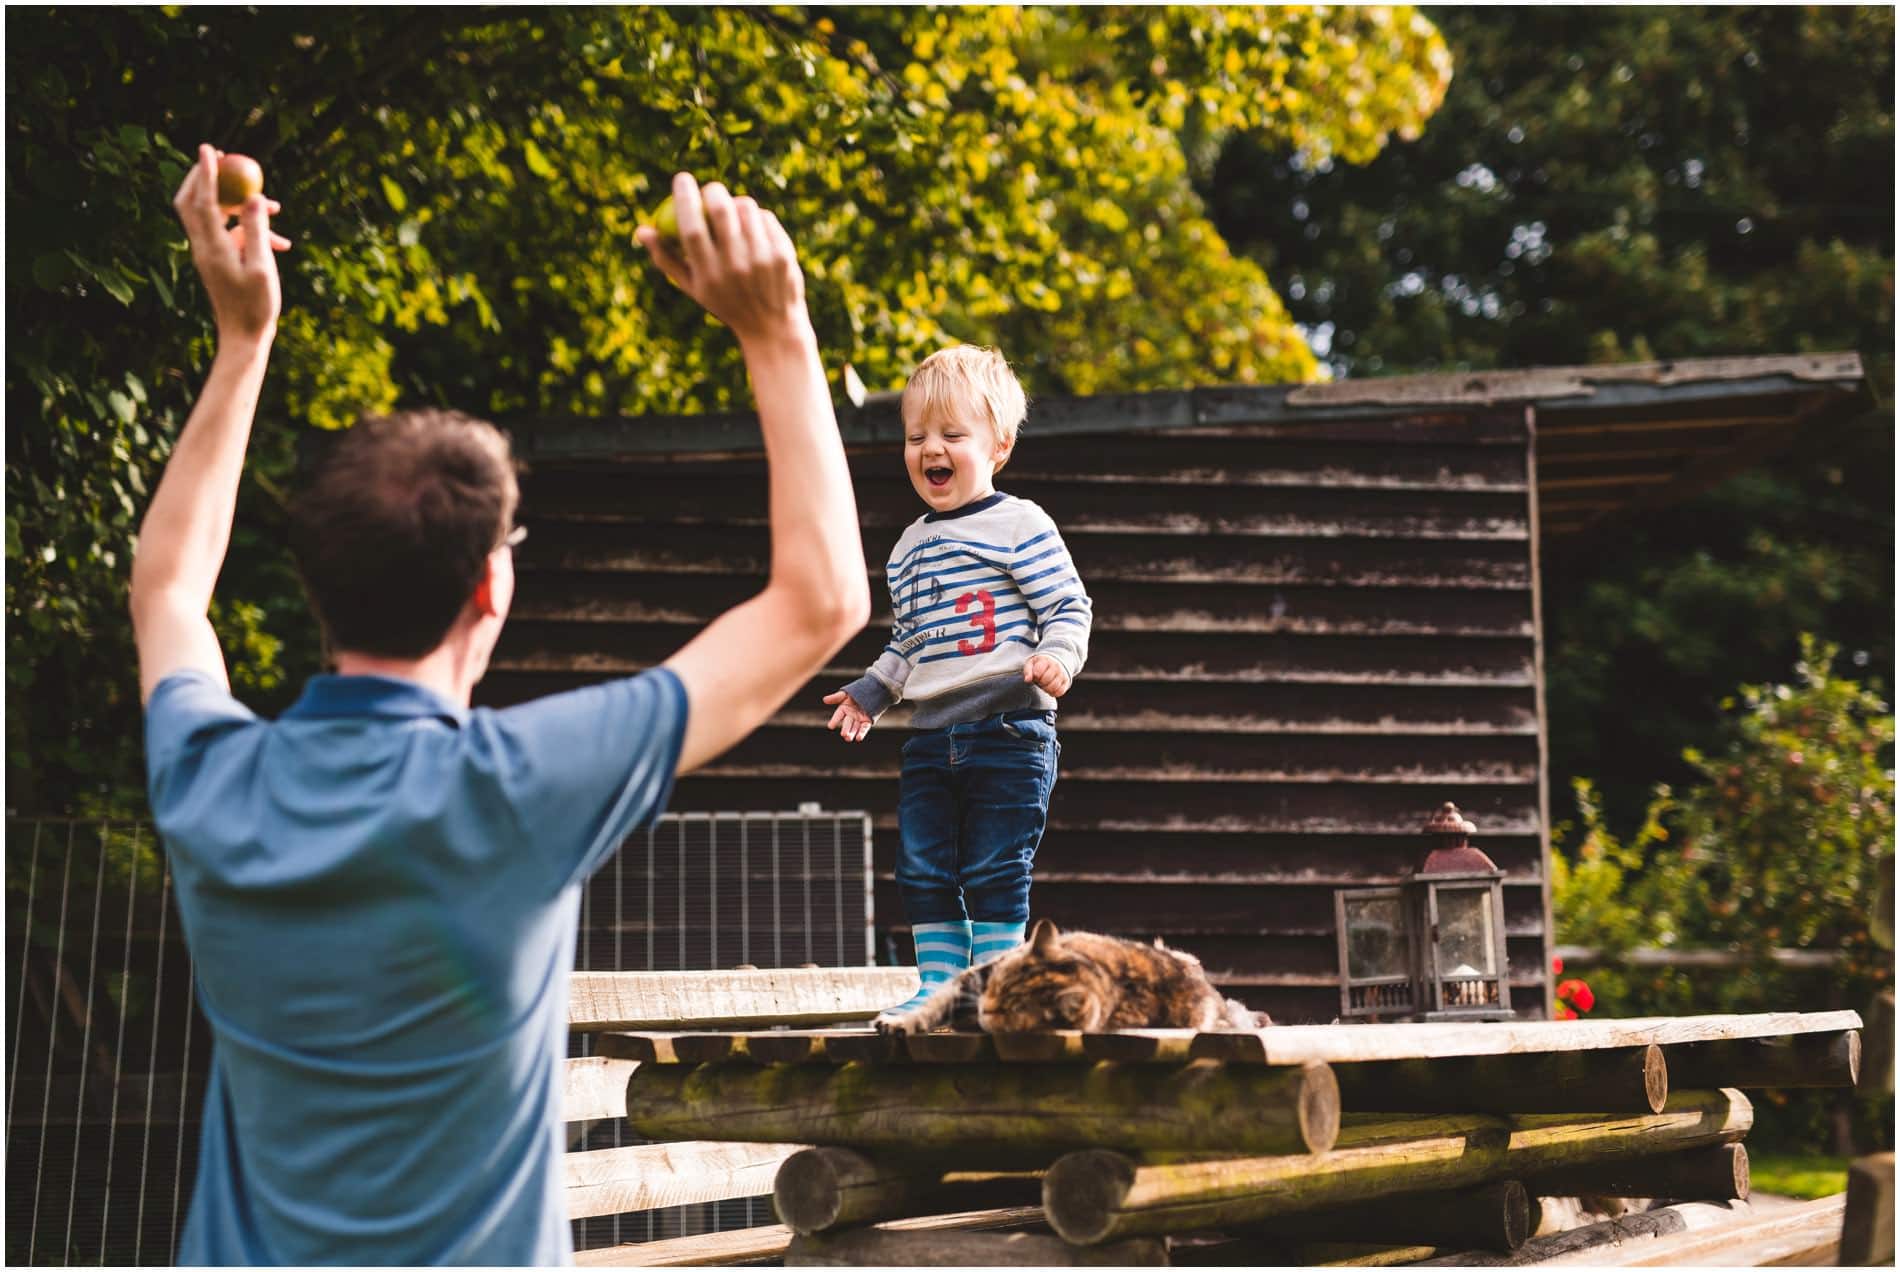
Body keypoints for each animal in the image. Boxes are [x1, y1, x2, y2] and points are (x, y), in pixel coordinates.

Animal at [877, 916, 1276, 1034]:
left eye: (1010, 1011)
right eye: (997, 989)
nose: (983, 1010)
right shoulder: (973, 978)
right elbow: (932, 1007)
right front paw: (900, 1023)